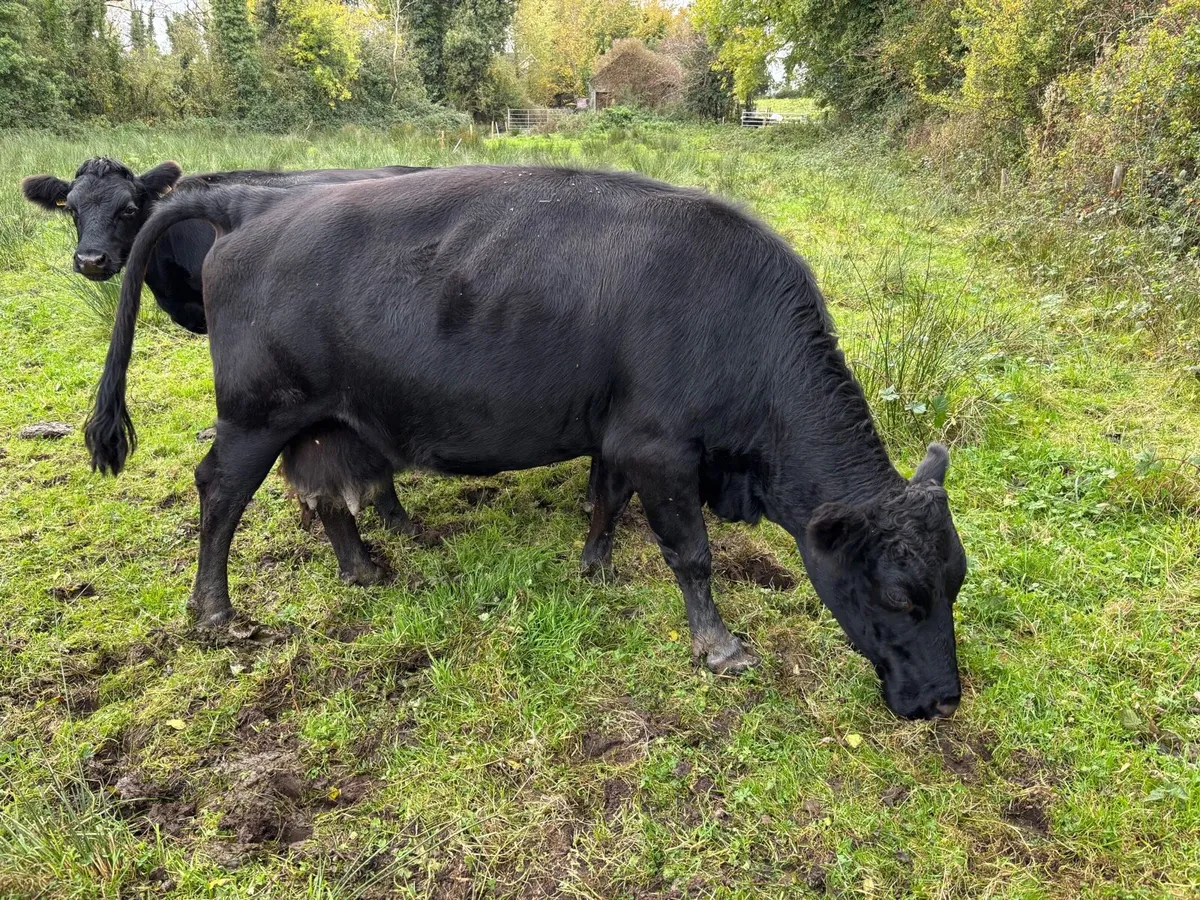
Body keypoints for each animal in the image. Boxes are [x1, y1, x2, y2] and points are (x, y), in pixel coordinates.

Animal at [85, 166, 967, 719]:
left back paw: (363, 567)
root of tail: (249, 204)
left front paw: (595, 566)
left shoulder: (616, 434)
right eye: (899, 597)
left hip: (322, 419)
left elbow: (604, 500)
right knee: (219, 494)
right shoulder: (662, 450)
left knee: (327, 491)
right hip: (255, 416)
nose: (944, 699)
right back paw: (215, 612)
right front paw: (717, 646)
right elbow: (691, 554)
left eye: (956, 582)